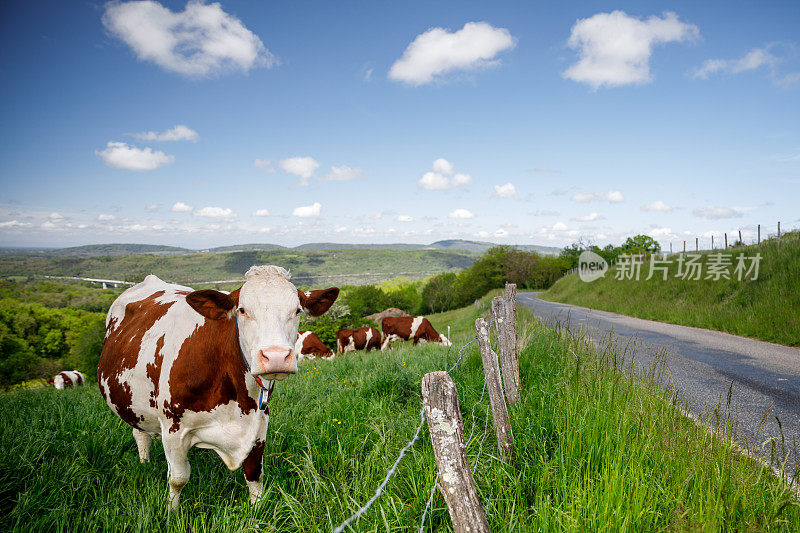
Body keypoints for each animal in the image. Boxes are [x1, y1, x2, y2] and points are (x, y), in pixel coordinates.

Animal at [98, 266, 340, 508]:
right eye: (242, 310)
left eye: (297, 310)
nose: (276, 357)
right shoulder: (172, 427)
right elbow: (178, 479)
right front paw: (170, 512)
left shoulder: (260, 421)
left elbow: (254, 474)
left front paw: (257, 510)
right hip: (130, 403)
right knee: (140, 435)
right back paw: (144, 463)